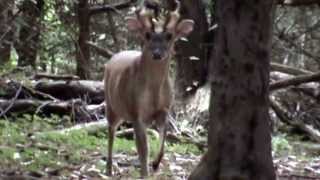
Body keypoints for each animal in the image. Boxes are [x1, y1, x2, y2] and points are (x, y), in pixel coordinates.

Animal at [105, 0, 194, 177]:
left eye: (169, 36)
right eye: (147, 35)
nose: (157, 53)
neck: (154, 92)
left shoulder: (164, 109)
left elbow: (164, 136)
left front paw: (155, 163)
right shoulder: (136, 112)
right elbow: (143, 150)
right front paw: (145, 173)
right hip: (111, 105)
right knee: (111, 131)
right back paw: (109, 169)